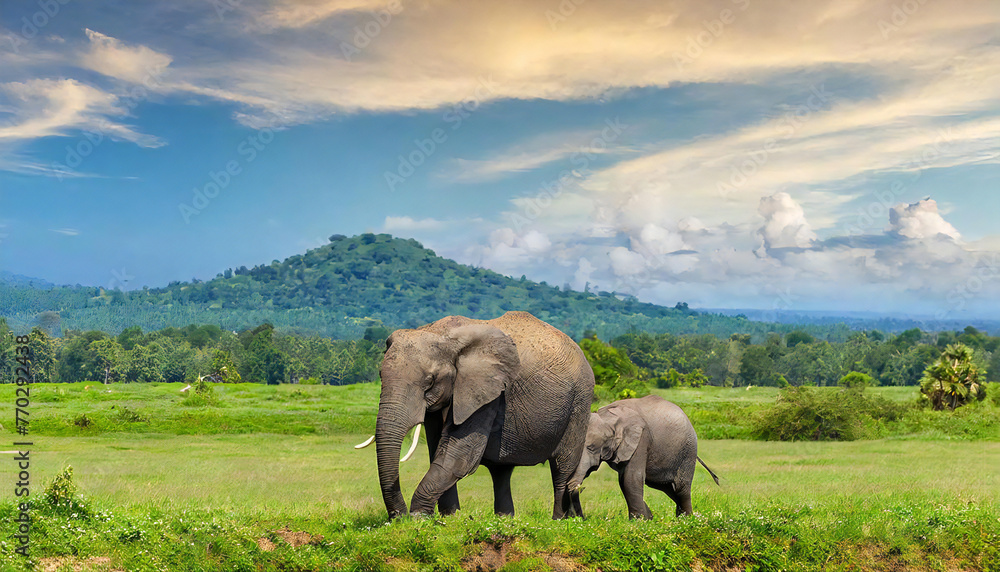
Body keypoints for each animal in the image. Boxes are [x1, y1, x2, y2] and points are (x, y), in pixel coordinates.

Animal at [366, 311, 595, 520]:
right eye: (379, 375)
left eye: (429, 382)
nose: (399, 517)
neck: (441, 333)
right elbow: (438, 449)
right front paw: (451, 518)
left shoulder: (488, 392)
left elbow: (459, 453)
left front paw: (420, 517)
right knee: (501, 472)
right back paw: (504, 519)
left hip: (579, 402)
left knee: (562, 468)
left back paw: (559, 520)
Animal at [568, 395, 719, 519]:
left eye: (591, 448)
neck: (608, 417)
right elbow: (623, 480)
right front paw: (648, 518)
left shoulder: (641, 438)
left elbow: (631, 478)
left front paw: (639, 521)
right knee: (666, 487)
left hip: (687, 451)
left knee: (681, 487)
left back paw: (687, 520)